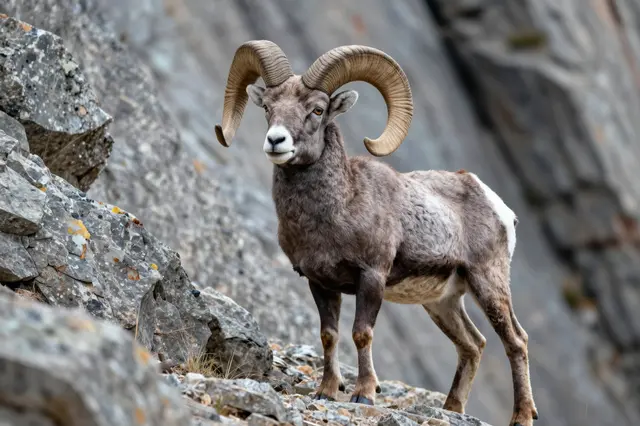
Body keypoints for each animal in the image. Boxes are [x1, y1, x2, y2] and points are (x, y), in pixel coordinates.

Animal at [214, 40, 538, 426]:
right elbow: (329, 335)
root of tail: (496, 204)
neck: (339, 207)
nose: (276, 141)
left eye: (317, 109)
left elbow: (361, 334)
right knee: (473, 344)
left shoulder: (371, 277)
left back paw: (522, 416)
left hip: (487, 282)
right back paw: (451, 408)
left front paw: (364, 395)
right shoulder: (319, 283)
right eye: (267, 106)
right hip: (442, 301)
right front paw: (326, 391)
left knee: (515, 341)